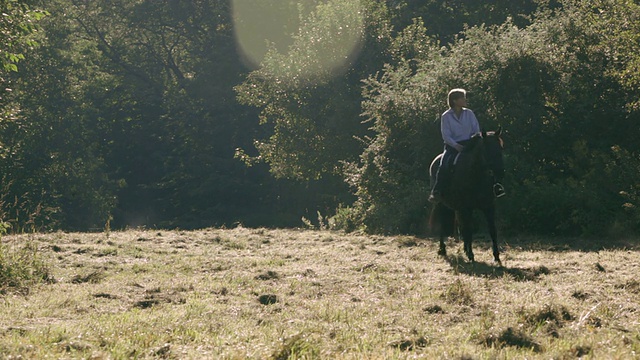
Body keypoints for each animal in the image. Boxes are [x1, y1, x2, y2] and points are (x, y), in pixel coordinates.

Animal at [430, 128, 504, 262]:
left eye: (500, 148)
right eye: (487, 149)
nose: (500, 171)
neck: (475, 174)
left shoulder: (488, 207)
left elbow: (492, 230)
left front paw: (496, 256)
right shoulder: (466, 208)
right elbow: (468, 230)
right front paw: (471, 255)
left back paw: (464, 248)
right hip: (441, 204)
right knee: (443, 224)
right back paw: (442, 249)